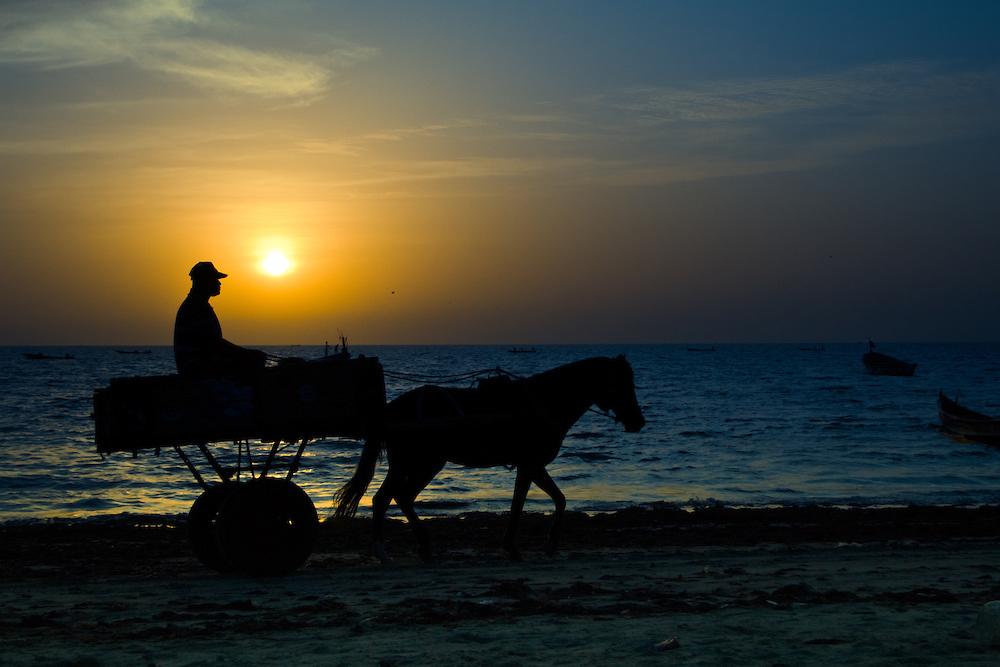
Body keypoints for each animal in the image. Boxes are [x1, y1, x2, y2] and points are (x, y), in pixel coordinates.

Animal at [334, 358, 648, 560]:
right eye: (622, 383)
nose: (638, 421)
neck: (543, 403)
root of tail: (390, 410)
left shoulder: (530, 466)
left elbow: (553, 500)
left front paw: (542, 543)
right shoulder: (531, 464)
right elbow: (525, 504)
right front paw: (521, 546)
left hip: (415, 464)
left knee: (393, 497)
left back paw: (414, 546)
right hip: (421, 463)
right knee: (392, 497)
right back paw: (390, 550)